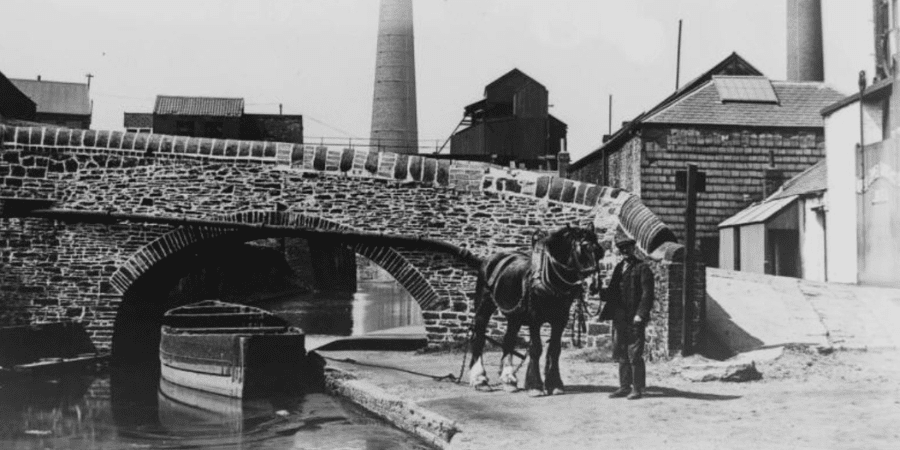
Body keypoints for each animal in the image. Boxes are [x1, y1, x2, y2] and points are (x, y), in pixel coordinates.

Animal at [464, 225, 604, 398]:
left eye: (600, 251)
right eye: (583, 249)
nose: (594, 285)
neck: (549, 278)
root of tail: (489, 260)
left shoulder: (560, 320)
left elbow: (554, 349)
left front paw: (554, 384)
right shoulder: (534, 318)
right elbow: (536, 348)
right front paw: (535, 386)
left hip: (514, 316)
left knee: (509, 340)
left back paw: (509, 379)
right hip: (484, 307)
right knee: (479, 337)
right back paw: (480, 379)